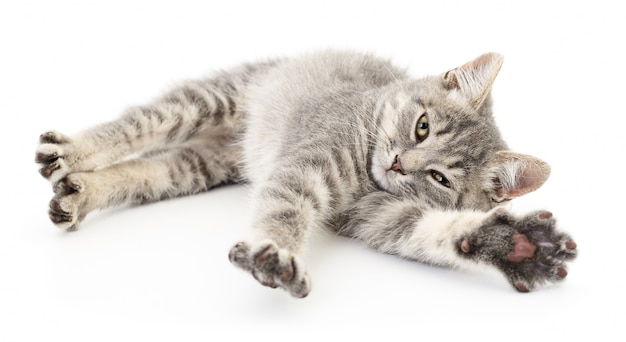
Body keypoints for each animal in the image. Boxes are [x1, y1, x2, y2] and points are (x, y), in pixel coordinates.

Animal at [36, 50, 576, 296]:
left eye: (440, 179)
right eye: (422, 127)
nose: (399, 163)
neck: (365, 171)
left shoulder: (378, 215)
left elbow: (427, 230)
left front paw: (515, 246)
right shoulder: (305, 165)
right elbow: (285, 210)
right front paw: (275, 253)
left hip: (199, 166)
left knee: (151, 169)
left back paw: (81, 192)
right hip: (207, 101)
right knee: (133, 127)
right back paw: (69, 153)